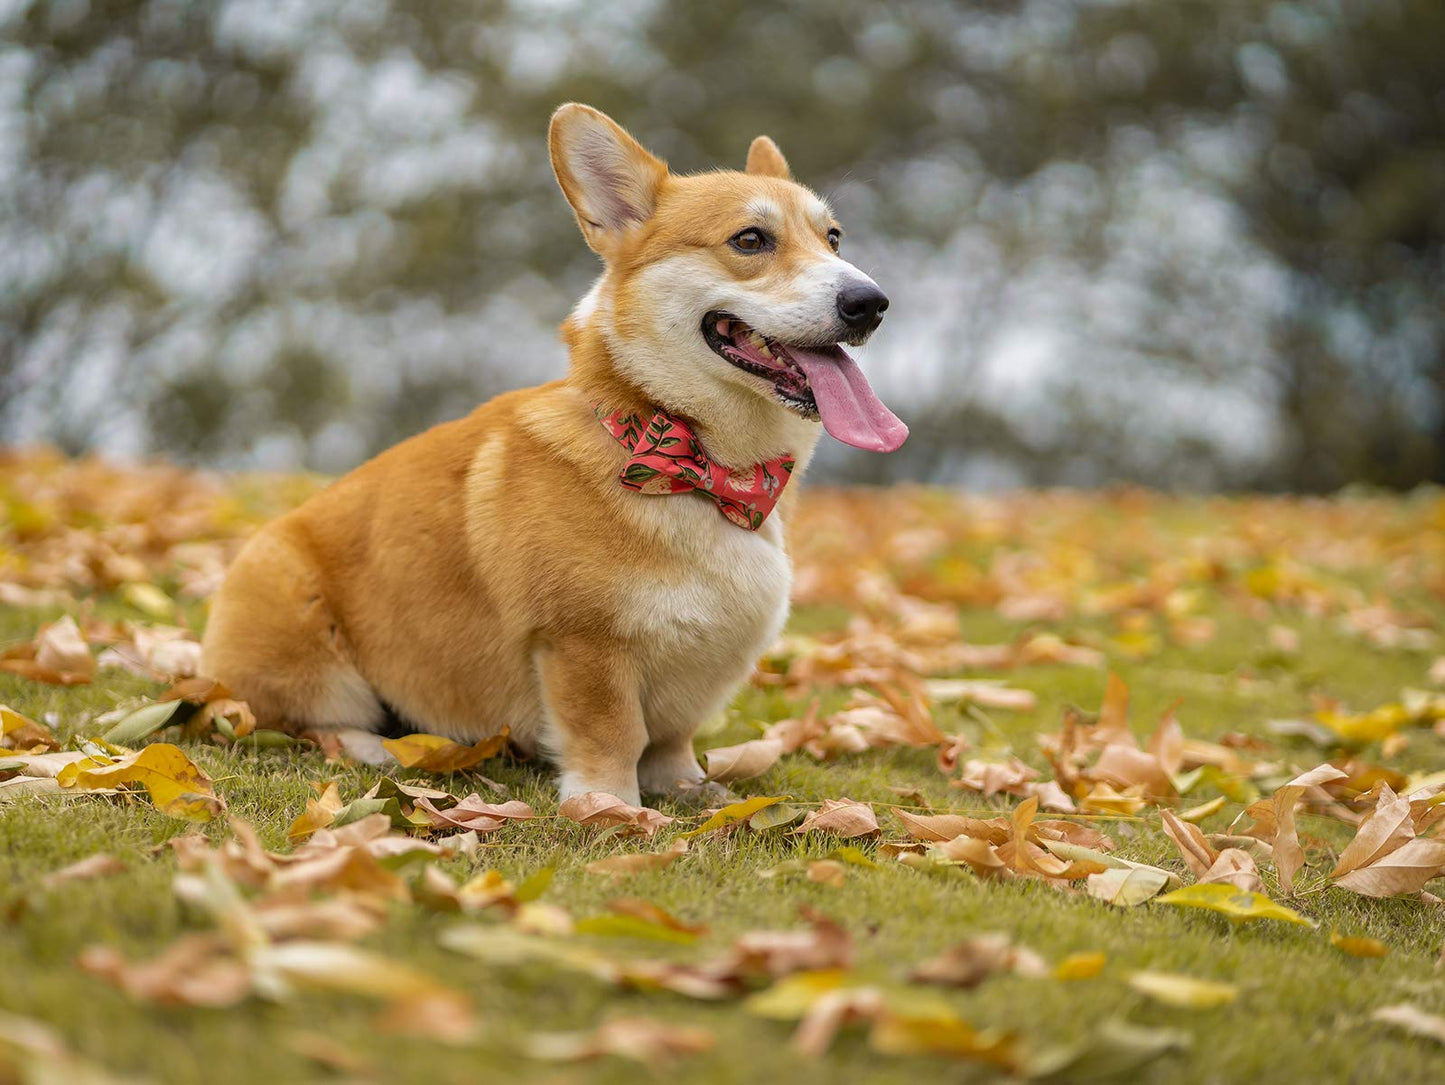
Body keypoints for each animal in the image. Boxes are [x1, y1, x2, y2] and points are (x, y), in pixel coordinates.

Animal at [200, 104, 901, 809]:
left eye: (834, 239)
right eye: (751, 240)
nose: (871, 303)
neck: (696, 469)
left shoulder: (689, 677)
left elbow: (672, 740)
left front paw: (691, 791)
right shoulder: (582, 644)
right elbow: (612, 734)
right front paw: (612, 810)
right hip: (308, 650)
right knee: (303, 723)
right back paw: (375, 748)